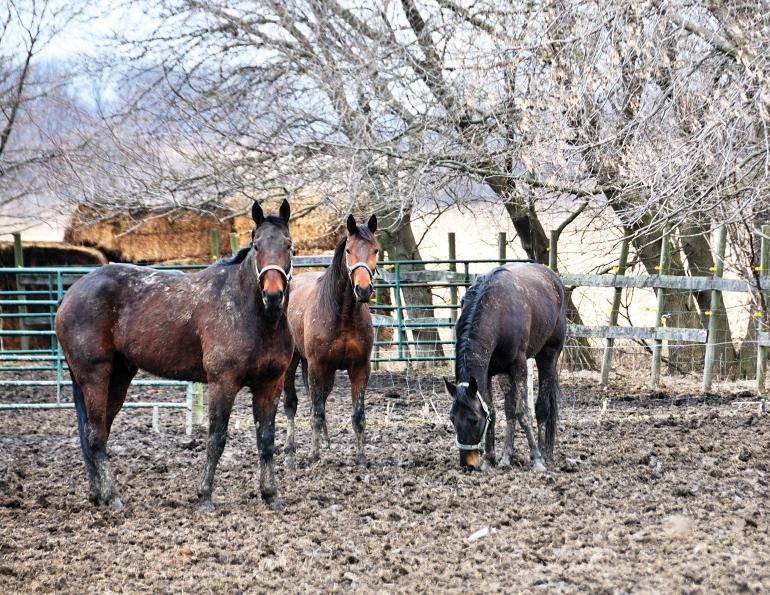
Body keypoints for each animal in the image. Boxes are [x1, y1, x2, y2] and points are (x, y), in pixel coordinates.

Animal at [55, 200, 295, 511]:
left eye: (288, 245)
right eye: (256, 245)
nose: (273, 295)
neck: (252, 314)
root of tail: (70, 295)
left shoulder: (270, 384)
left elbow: (266, 439)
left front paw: (271, 494)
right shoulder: (223, 382)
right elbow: (216, 439)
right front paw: (204, 497)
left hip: (117, 379)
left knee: (97, 432)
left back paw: (98, 494)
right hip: (94, 377)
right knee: (95, 436)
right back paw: (113, 497)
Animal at [283, 214, 379, 467]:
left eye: (375, 249)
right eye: (349, 250)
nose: (363, 290)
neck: (342, 314)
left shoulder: (360, 368)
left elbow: (358, 415)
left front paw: (361, 457)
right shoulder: (317, 366)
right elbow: (316, 412)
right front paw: (314, 456)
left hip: (328, 373)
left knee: (320, 401)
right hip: (294, 363)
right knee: (292, 404)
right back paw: (290, 449)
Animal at [444, 262, 566, 471]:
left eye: (473, 419)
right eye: (452, 418)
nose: (467, 464)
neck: (497, 309)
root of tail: (553, 279)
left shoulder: (520, 366)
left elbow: (523, 412)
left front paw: (537, 459)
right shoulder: (487, 373)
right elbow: (493, 411)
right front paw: (490, 460)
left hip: (548, 355)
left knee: (541, 408)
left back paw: (543, 452)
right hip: (504, 373)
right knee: (509, 410)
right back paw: (506, 457)